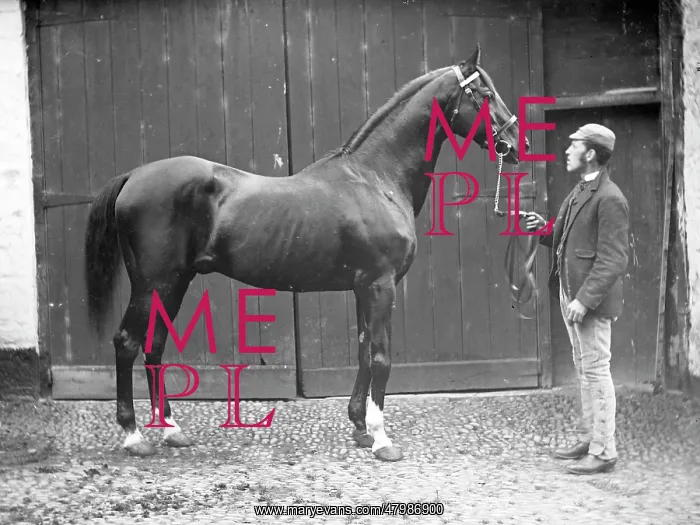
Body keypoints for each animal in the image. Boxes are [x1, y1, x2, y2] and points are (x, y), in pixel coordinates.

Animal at [84, 44, 528, 462]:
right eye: (485, 93)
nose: (517, 143)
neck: (375, 178)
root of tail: (133, 176)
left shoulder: (363, 287)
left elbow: (364, 350)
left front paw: (360, 429)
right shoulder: (381, 285)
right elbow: (381, 357)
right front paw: (382, 439)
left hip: (173, 284)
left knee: (154, 345)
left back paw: (171, 430)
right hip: (154, 283)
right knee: (127, 342)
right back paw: (134, 436)